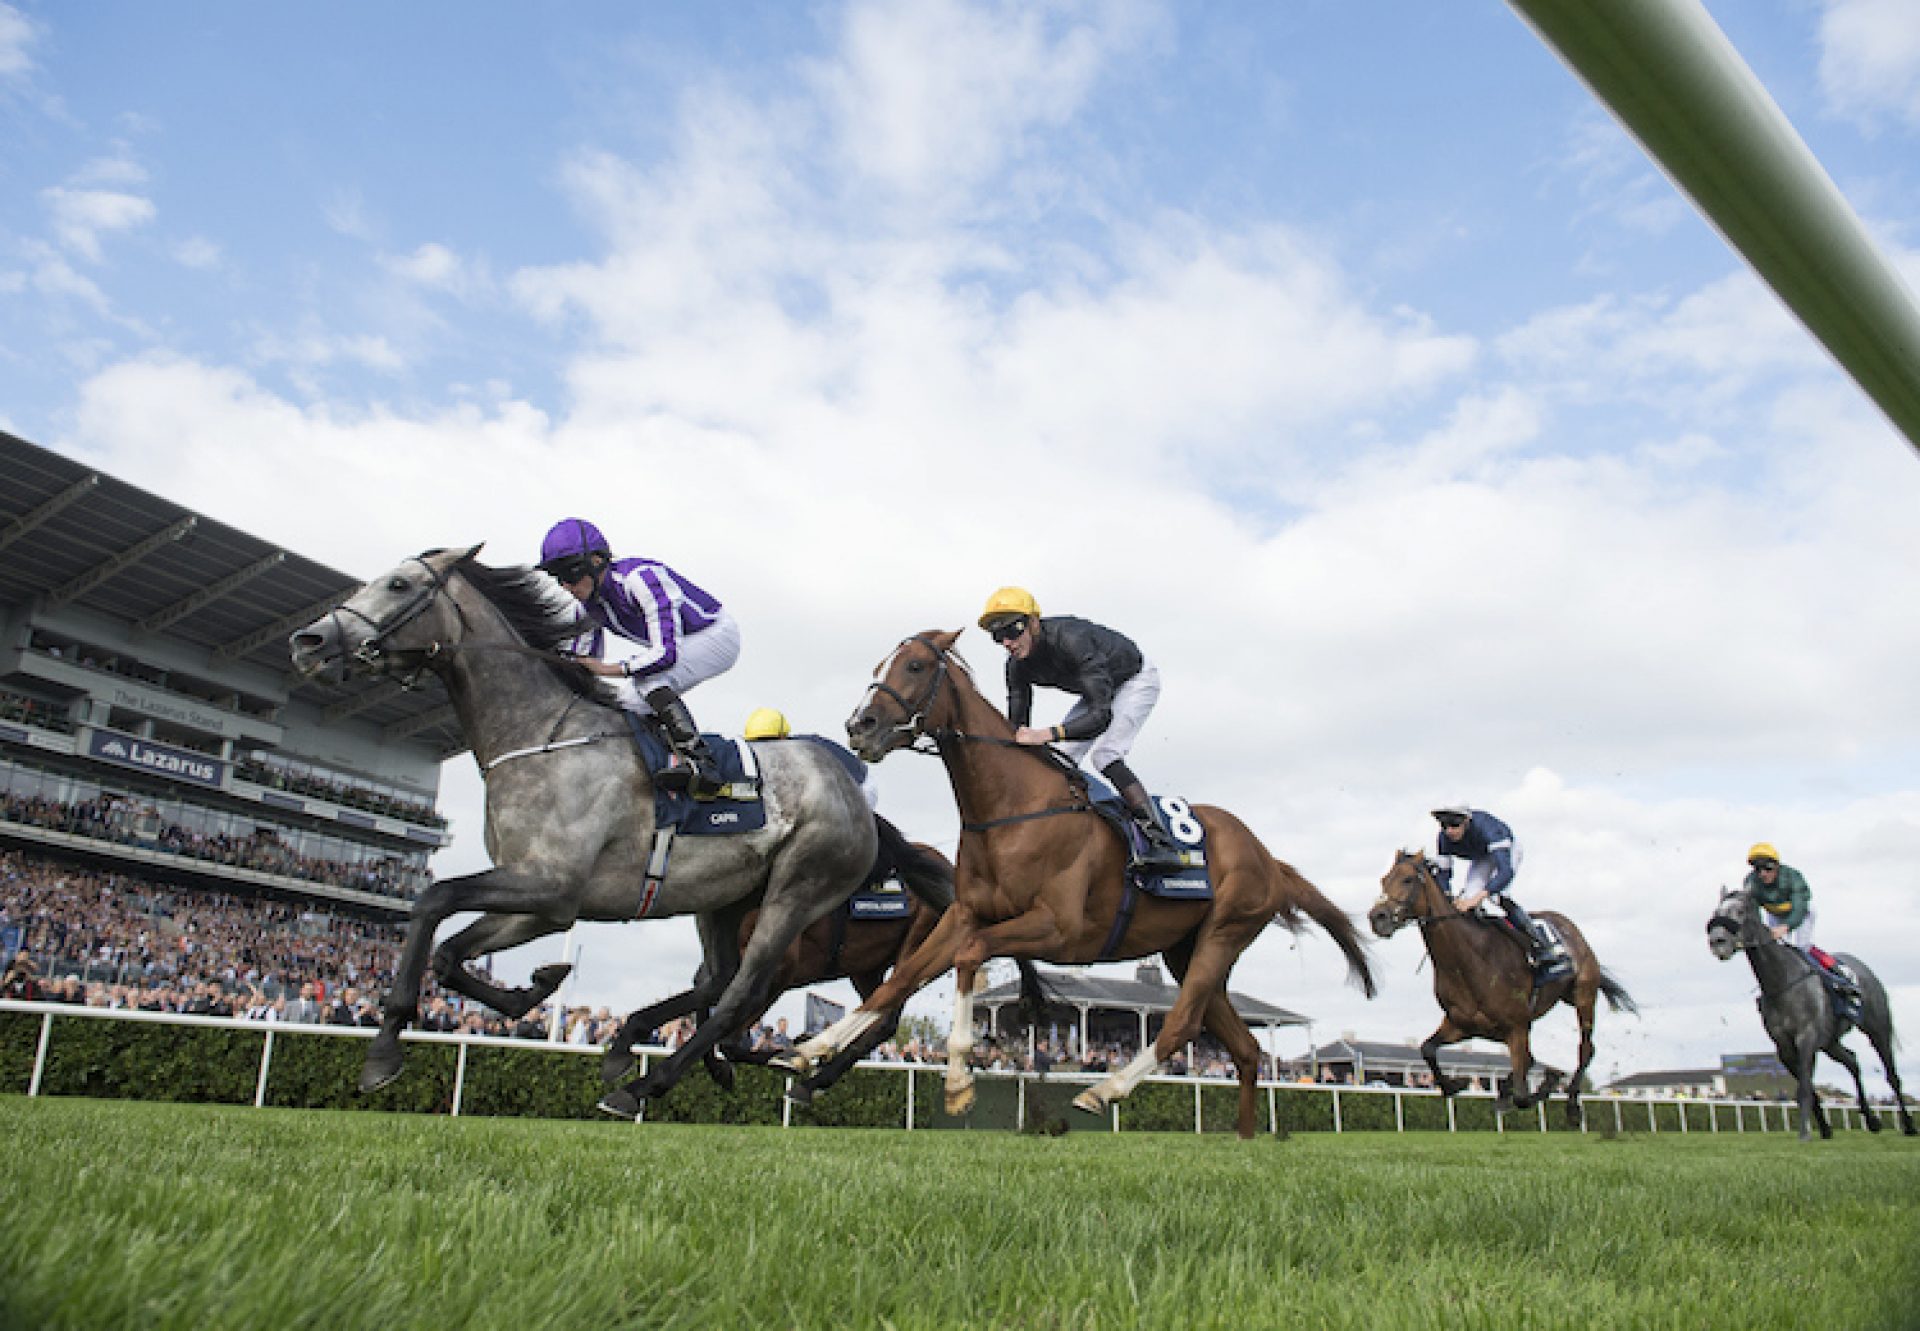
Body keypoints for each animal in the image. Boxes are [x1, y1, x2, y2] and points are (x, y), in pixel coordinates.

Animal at [286, 541, 879, 1113]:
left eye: (399, 584)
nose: (307, 641)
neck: (541, 737)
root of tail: (851, 785)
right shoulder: (549, 902)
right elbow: (449, 954)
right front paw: (535, 987)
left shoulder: (551, 882)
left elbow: (433, 900)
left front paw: (384, 1053)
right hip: (724, 899)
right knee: (718, 978)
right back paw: (639, 1047)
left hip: (796, 890)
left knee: (744, 992)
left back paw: (645, 1084)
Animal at [771, 629, 1374, 1137]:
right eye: (879, 666)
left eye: (915, 666)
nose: (860, 726)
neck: (1013, 807)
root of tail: (1268, 857)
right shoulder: (966, 913)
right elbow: (903, 980)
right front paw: (805, 1051)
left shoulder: (1056, 928)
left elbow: (970, 955)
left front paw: (959, 1082)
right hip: (1188, 950)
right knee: (1246, 1048)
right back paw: (1247, 1140)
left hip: (1225, 931)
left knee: (1181, 1023)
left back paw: (1103, 1091)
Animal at [1367, 845, 1635, 1113]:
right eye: (1383, 880)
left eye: (1408, 879)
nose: (1377, 917)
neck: (1469, 960)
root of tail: (1572, 930)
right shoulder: (1461, 1024)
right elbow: (1427, 1049)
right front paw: (1456, 1084)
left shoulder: (1516, 1027)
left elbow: (1523, 1097)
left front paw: (1544, 1084)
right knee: (1532, 1058)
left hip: (1583, 996)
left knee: (1586, 1048)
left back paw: (1570, 1104)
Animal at [1704, 887, 1912, 1137]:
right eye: (1716, 912)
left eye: (1741, 910)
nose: (1717, 941)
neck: (1782, 982)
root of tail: (1864, 969)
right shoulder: (1784, 1046)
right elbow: (1809, 1089)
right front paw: (1824, 1129)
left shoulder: (1807, 1037)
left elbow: (1804, 1088)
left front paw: (1805, 1133)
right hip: (1830, 1041)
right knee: (1852, 1061)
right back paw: (1872, 1120)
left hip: (1878, 1029)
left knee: (1892, 1076)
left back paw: (1909, 1125)